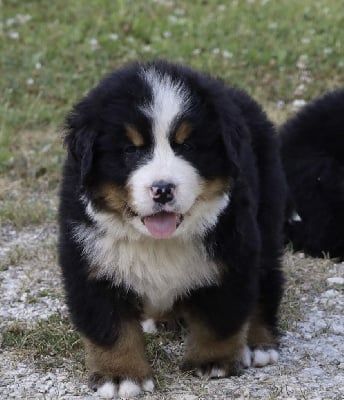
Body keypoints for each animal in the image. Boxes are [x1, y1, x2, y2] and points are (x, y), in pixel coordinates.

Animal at [57, 60, 286, 396]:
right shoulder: (91, 261)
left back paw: (258, 343)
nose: (163, 189)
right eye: (130, 151)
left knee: (265, 283)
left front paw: (213, 361)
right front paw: (120, 375)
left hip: (266, 217)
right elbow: (110, 327)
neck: (157, 241)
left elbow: (220, 316)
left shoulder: (233, 254)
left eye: (187, 146)